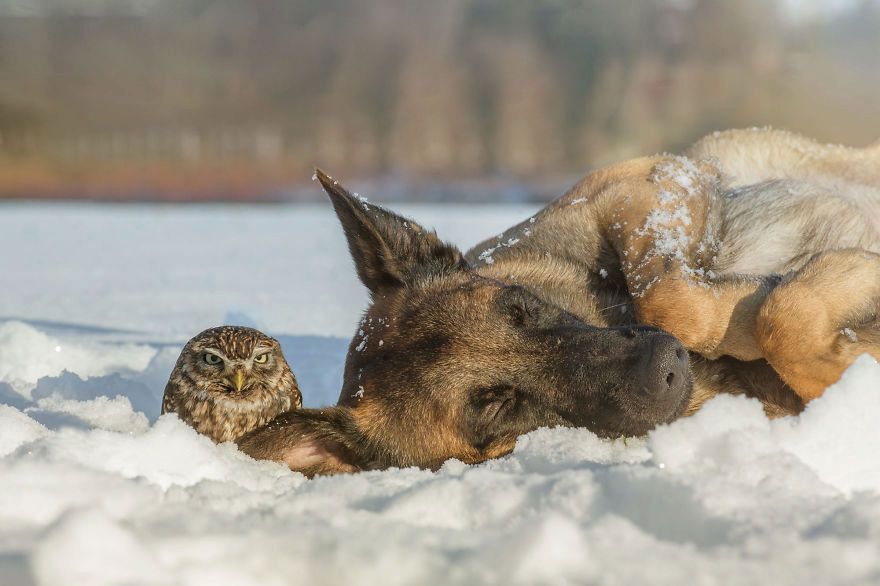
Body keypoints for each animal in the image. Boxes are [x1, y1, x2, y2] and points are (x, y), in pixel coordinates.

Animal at [239, 128, 880, 474]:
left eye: (520, 308)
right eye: (496, 404)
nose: (667, 368)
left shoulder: (645, 181)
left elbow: (676, 301)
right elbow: (775, 315)